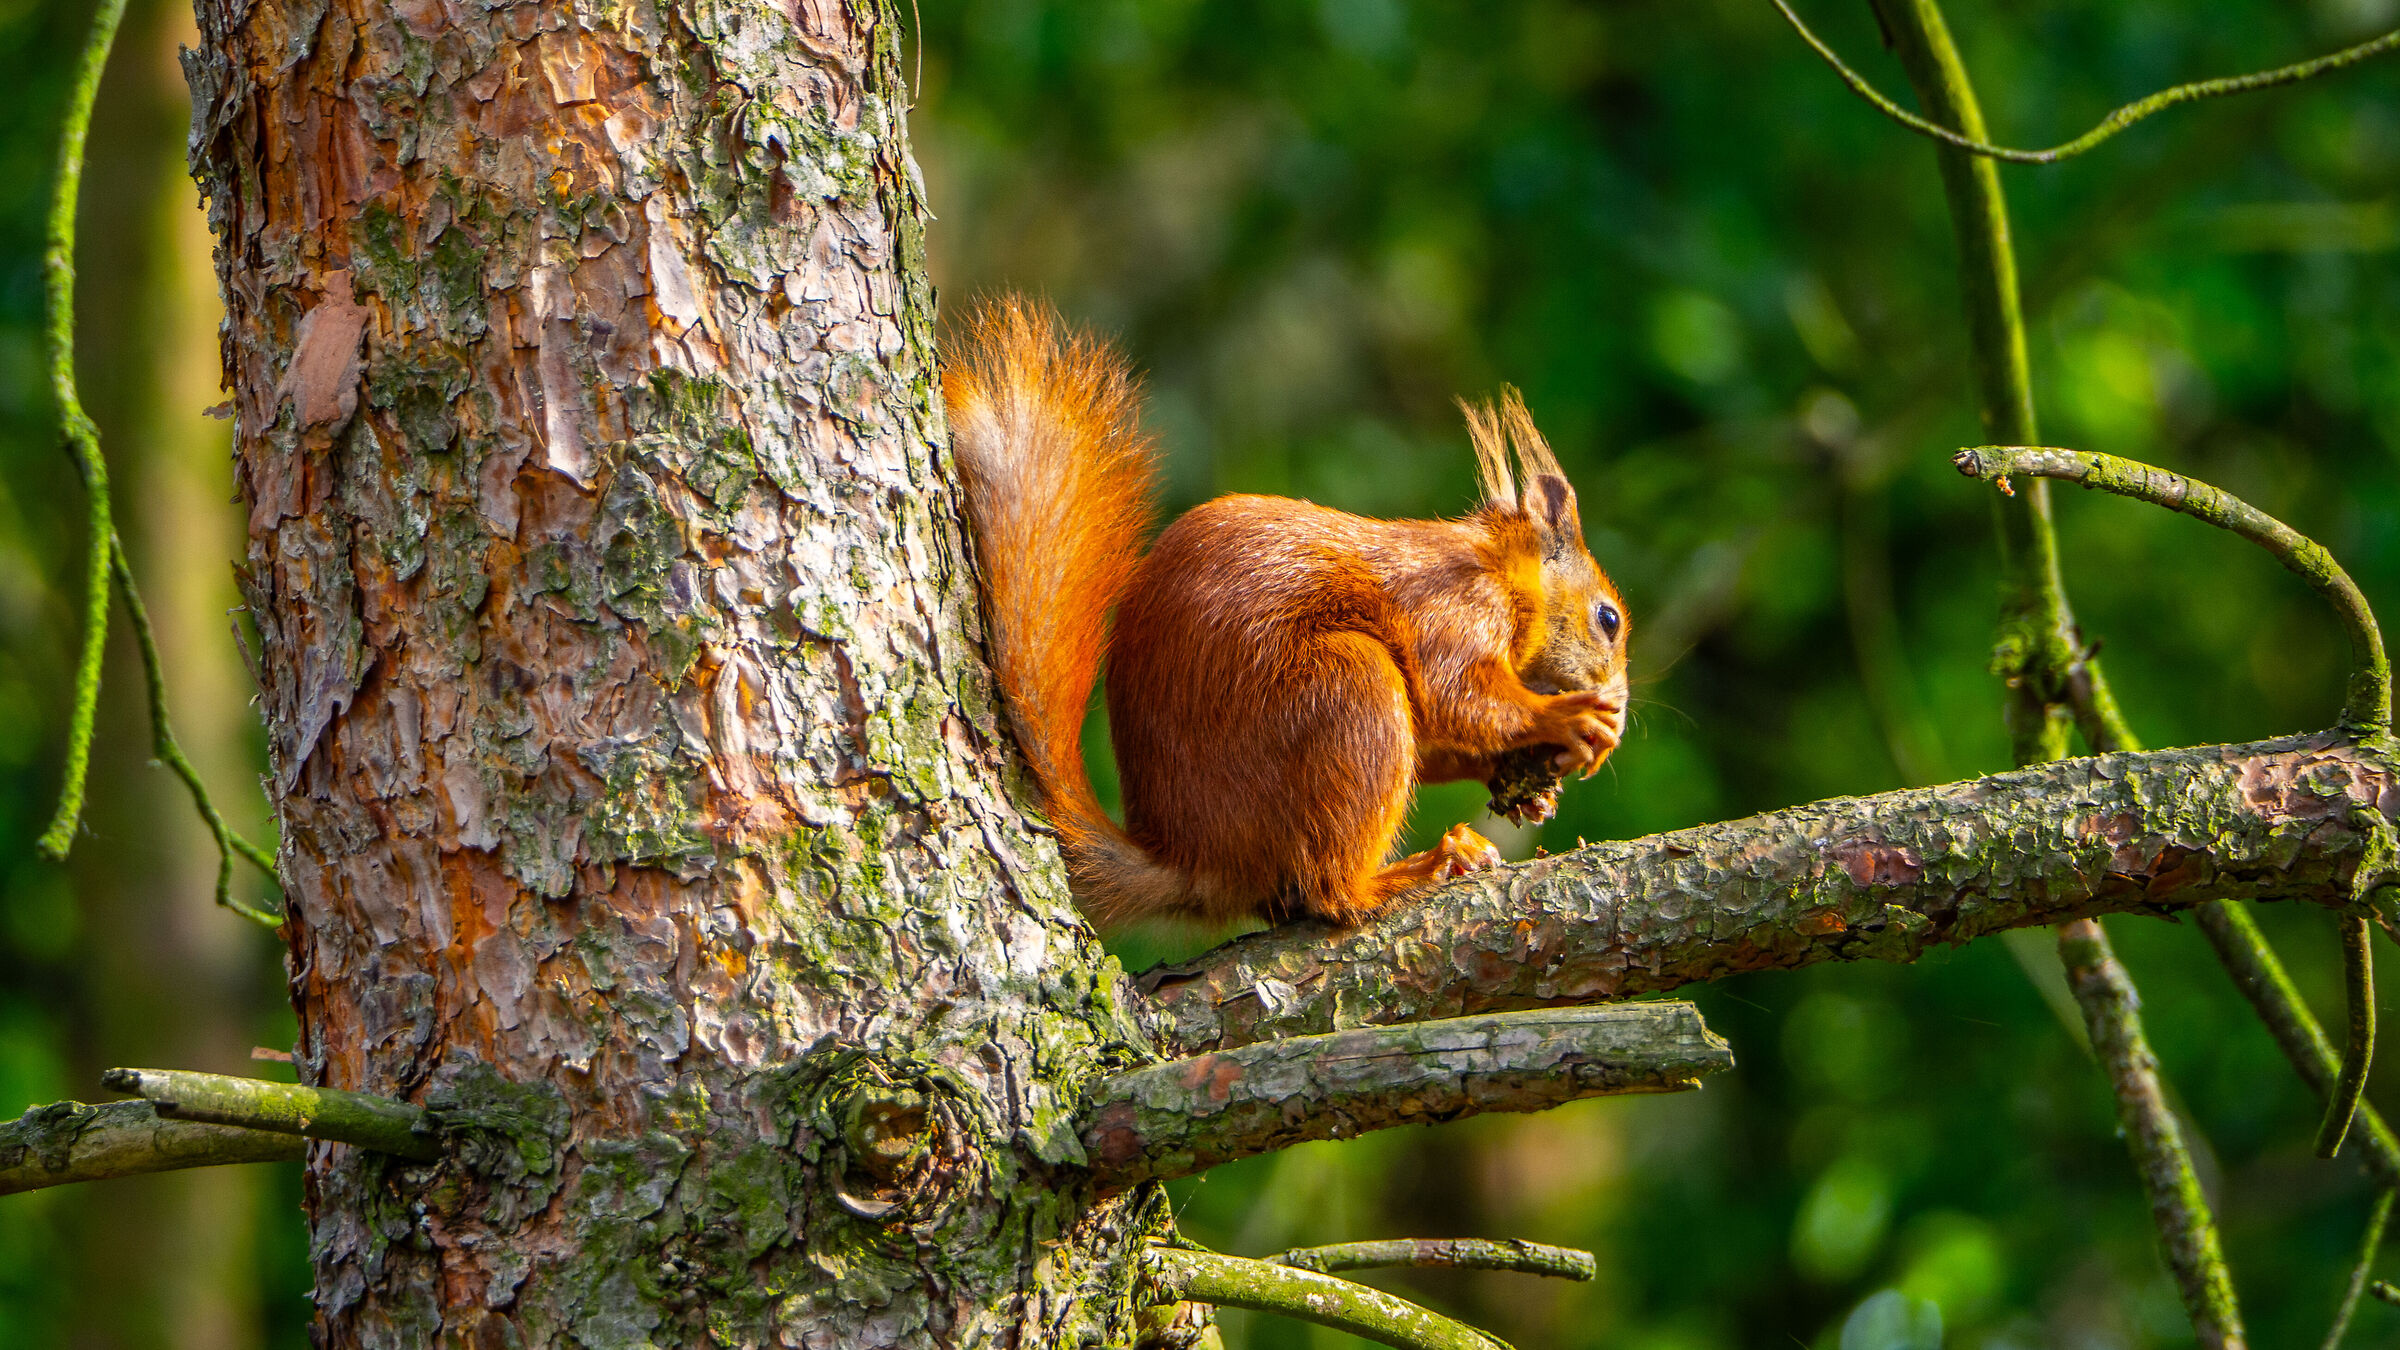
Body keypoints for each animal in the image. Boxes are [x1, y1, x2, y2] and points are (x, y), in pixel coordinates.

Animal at [943, 297, 1629, 929]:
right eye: (1609, 619)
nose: (1619, 693)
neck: (1501, 571)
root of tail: (1199, 862)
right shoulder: (1455, 608)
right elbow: (1457, 695)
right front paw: (1569, 717)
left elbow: (1438, 737)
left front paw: (1523, 779)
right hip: (1348, 693)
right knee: (1329, 890)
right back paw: (1416, 869)